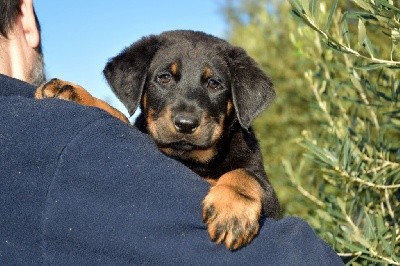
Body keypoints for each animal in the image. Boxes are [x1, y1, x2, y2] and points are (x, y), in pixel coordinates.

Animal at [36, 30, 280, 250]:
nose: (186, 123)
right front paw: (72, 91)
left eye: (214, 84)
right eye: (164, 78)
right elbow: (119, 115)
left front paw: (232, 211)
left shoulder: (270, 198)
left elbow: (246, 174)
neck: (189, 159)